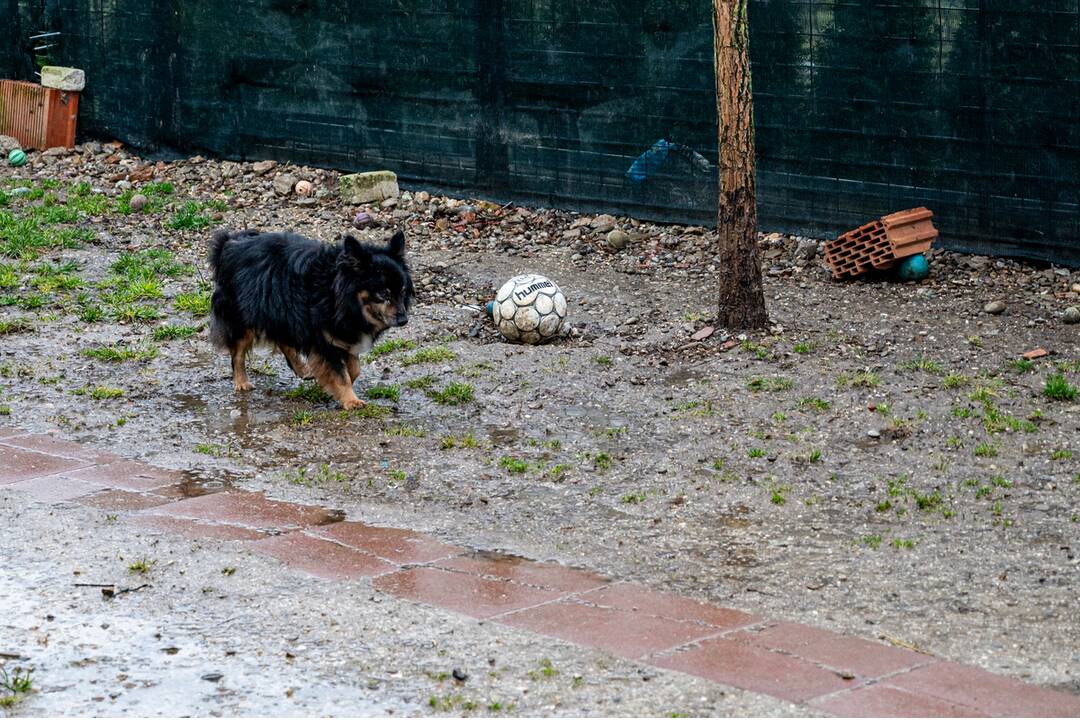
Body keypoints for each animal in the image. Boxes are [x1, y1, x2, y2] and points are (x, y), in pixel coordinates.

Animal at [207, 227, 412, 408]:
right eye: (383, 294)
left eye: (402, 291)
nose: (404, 320)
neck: (337, 293)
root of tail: (228, 243)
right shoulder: (324, 340)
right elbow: (341, 374)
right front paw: (350, 400)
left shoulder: (345, 336)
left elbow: (354, 369)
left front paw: (333, 388)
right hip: (241, 317)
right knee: (238, 354)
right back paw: (242, 382)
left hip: (279, 311)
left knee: (282, 339)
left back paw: (301, 368)